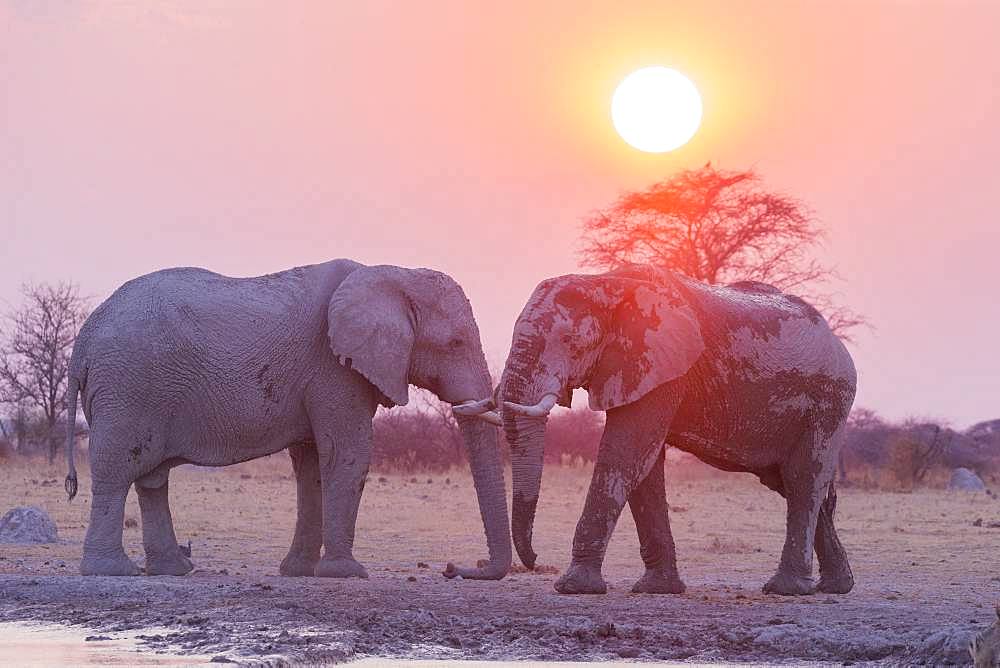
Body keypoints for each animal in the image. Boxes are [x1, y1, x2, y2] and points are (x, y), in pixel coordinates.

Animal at [65, 260, 512, 580]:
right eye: (455, 342)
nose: (455, 567)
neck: (393, 274)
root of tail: (83, 339)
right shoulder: (334, 368)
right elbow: (347, 454)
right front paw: (347, 574)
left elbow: (312, 464)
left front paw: (299, 572)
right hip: (128, 385)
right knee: (117, 470)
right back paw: (112, 571)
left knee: (151, 478)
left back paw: (172, 571)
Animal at [492, 264, 860, 596]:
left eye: (569, 341)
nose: (534, 559)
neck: (605, 282)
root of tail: (836, 340)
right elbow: (645, 469)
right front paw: (657, 589)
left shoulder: (660, 367)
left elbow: (624, 454)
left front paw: (573, 588)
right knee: (791, 484)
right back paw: (835, 587)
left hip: (829, 399)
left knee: (803, 480)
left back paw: (787, 590)